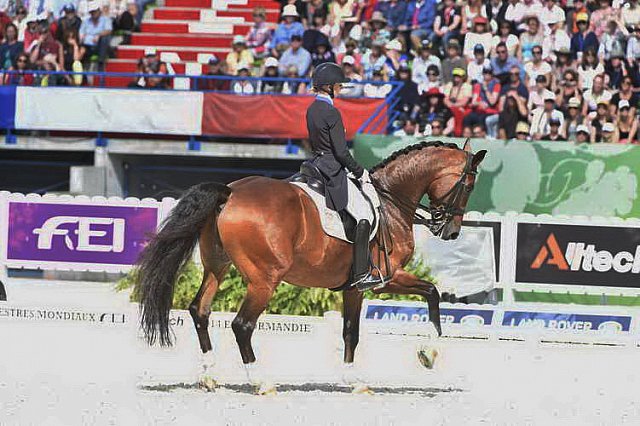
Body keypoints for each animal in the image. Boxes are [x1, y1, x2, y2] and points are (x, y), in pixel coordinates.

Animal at [135, 139, 484, 390]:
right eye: (468, 186)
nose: (451, 232)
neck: (390, 201)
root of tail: (230, 192)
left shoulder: (362, 285)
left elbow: (423, 297)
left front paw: (421, 356)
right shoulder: (380, 280)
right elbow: (360, 327)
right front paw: (423, 356)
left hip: (217, 267)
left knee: (200, 311)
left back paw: (209, 375)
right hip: (264, 280)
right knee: (242, 325)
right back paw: (260, 381)